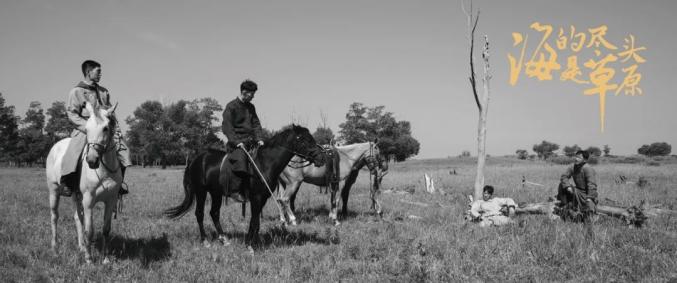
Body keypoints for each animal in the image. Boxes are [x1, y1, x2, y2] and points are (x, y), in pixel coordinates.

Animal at [45, 101, 122, 264]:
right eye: (86, 129)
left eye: (106, 128)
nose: (92, 160)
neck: (103, 172)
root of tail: (55, 146)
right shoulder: (88, 201)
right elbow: (90, 230)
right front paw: (89, 259)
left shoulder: (110, 200)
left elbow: (106, 230)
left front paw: (105, 259)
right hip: (53, 191)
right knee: (54, 216)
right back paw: (55, 249)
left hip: (75, 195)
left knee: (77, 218)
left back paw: (81, 247)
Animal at [162, 125, 324, 247]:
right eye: (304, 139)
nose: (320, 157)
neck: (264, 164)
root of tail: (196, 159)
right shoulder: (256, 198)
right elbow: (254, 220)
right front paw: (250, 245)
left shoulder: (262, 198)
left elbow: (256, 221)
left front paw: (254, 241)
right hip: (201, 192)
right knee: (200, 214)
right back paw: (205, 241)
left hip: (215, 193)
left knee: (214, 213)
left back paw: (224, 239)